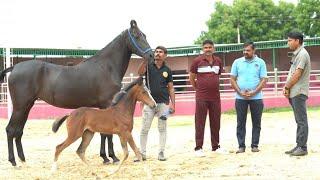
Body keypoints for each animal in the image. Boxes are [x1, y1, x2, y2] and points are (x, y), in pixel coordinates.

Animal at [0, 19, 154, 166]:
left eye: (145, 35)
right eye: (137, 35)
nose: (152, 55)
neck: (106, 67)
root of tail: (14, 68)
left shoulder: (103, 107)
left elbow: (103, 133)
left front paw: (105, 157)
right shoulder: (107, 104)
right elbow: (107, 133)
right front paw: (112, 157)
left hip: (27, 106)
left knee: (18, 131)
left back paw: (22, 159)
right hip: (20, 107)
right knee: (11, 130)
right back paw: (13, 161)